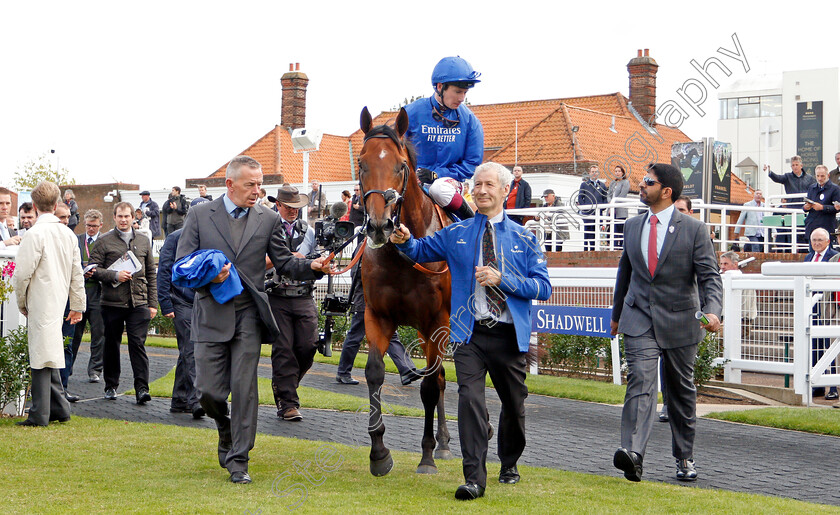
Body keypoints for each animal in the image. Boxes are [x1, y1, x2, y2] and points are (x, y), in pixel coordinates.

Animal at [360, 107, 456, 478]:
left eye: (401, 165)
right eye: (362, 164)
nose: (379, 225)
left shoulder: (437, 320)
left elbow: (428, 386)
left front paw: (426, 456)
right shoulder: (377, 316)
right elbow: (374, 373)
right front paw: (378, 452)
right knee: (441, 377)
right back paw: (444, 442)